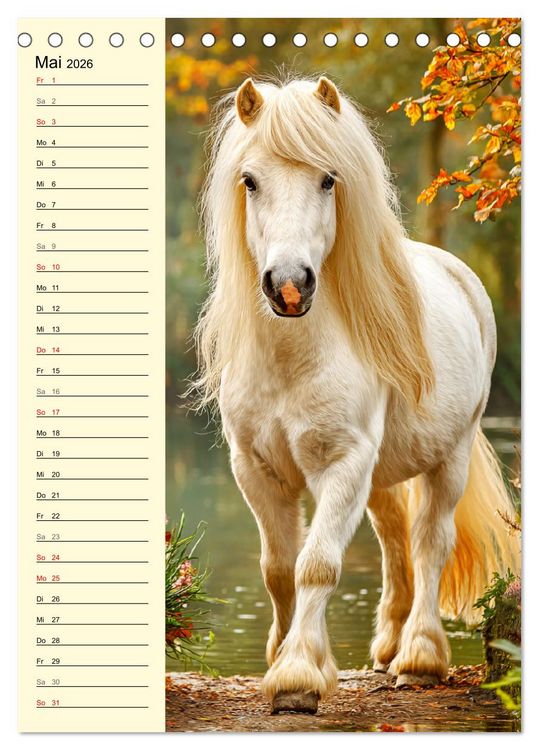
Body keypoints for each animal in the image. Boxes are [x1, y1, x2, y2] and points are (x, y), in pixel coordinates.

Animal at [192, 75, 520, 715]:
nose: (289, 286)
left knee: (429, 544)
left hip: (449, 457)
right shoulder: (257, 470)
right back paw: (388, 649)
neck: (293, 358)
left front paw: (297, 676)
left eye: (328, 179)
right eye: (250, 180)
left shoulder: (342, 464)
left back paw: (418, 658)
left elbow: (317, 566)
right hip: (383, 476)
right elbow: (278, 569)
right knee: (395, 545)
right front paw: (286, 658)